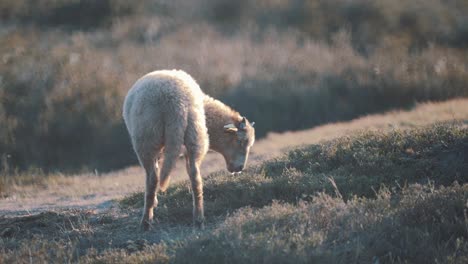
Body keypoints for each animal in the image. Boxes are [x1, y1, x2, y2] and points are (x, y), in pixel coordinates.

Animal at [122, 69, 254, 230]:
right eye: (240, 141)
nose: (240, 168)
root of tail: (176, 104)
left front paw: (155, 202)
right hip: (194, 136)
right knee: (195, 177)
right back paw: (198, 218)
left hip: (146, 139)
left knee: (153, 178)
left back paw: (146, 221)